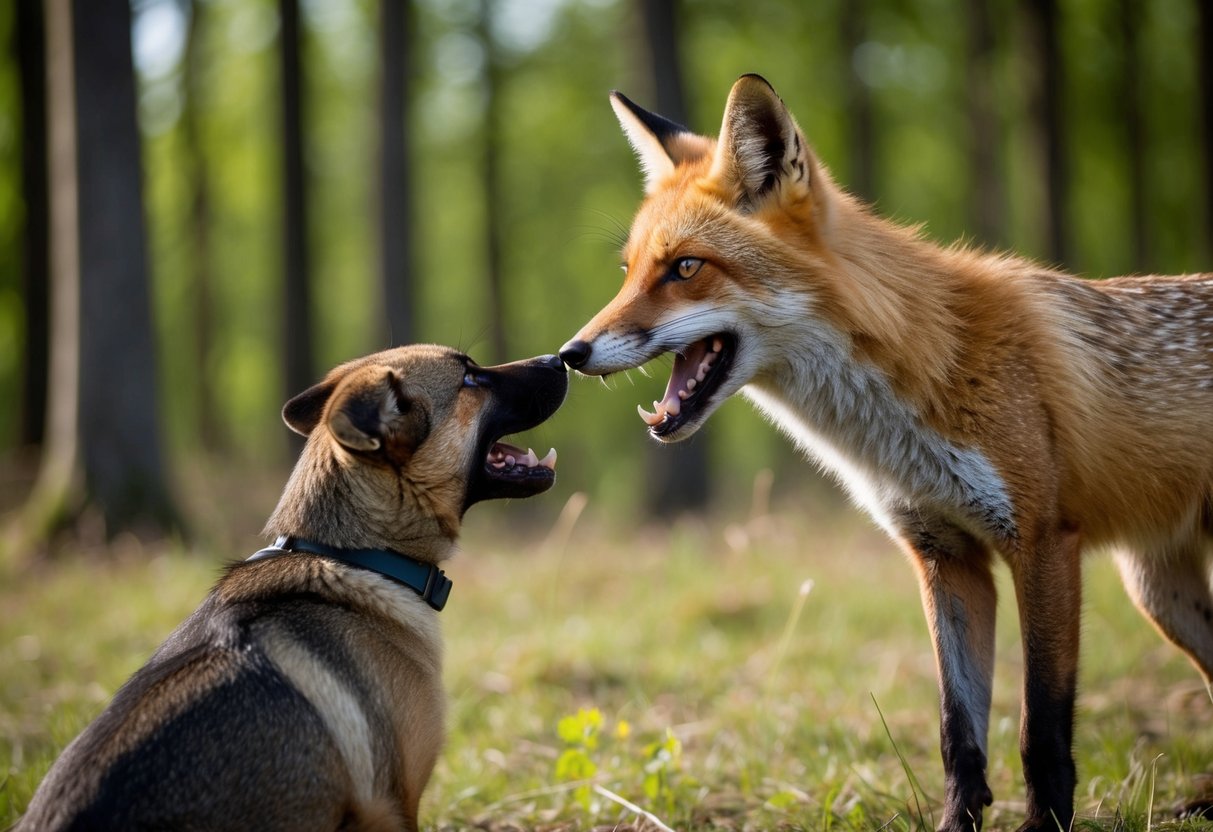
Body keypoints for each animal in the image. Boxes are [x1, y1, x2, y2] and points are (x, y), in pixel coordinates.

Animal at [558, 74, 1213, 832]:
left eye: (685, 268)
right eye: (629, 271)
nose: (570, 354)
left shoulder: (1044, 542)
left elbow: (1040, 728)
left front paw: (1044, 823)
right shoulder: (944, 555)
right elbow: (958, 732)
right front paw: (957, 823)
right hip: (1161, 595)